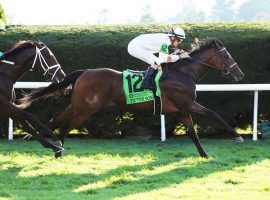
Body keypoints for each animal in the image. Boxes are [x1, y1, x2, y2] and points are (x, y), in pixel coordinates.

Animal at [19, 38, 245, 158]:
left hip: (79, 105)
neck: (183, 73)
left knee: (58, 118)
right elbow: (214, 115)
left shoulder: (181, 110)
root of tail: (85, 72)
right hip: (86, 110)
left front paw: (204, 155)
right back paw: (58, 150)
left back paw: (48, 143)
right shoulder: (187, 104)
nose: (240, 74)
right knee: (66, 126)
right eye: (227, 56)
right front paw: (237, 135)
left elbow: (192, 133)